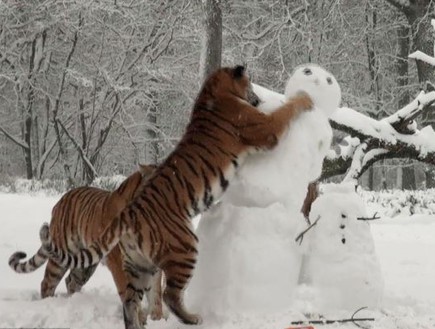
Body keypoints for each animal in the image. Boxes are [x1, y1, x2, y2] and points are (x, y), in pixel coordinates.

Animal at [38, 64, 314, 328]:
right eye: (250, 84)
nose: (257, 98)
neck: (212, 90)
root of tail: (129, 211)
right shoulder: (266, 129)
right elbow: (287, 111)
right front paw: (305, 98)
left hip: (138, 265)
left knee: (131, 301)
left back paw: (138, 325)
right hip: (185, 247)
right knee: (169, 295)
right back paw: (193, 318)